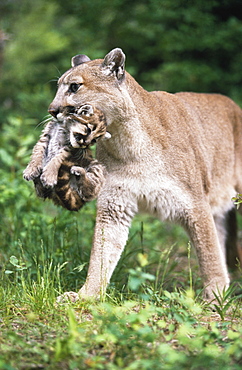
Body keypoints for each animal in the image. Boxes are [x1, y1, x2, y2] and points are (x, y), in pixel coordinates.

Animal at [47, 47, 242, 302]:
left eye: (74, 87)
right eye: (59, 86)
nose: (52, 111)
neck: (127, 142)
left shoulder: (195, 204)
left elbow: (209, 253)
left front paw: (215, 298)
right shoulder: (114, 204)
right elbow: (102, 252)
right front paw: (87, 295)